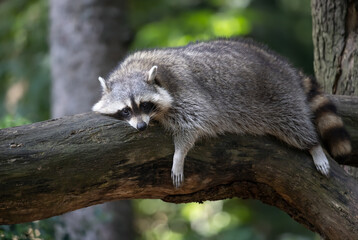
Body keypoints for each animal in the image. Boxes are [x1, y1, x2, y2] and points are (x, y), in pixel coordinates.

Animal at [93, 38, 352, 188]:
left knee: (294, 124)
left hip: (280, 95)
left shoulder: (185, 91)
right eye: (126, 110)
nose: (141, 127)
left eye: (145, 105)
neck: (134, 69)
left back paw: (313, 146)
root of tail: (280, 63)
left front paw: (179, 155)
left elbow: (195, 124)